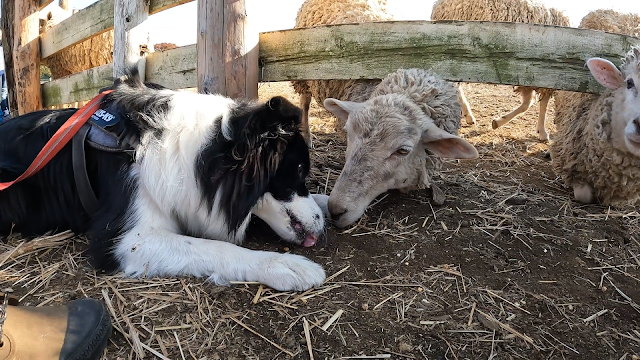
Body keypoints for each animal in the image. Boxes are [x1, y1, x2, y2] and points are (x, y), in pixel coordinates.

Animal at [430, 0, 568, 141]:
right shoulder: (541, 80)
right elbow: (535, 105)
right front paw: (542, 132)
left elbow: (527, 104)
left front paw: (498, 122)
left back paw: (467, 116)